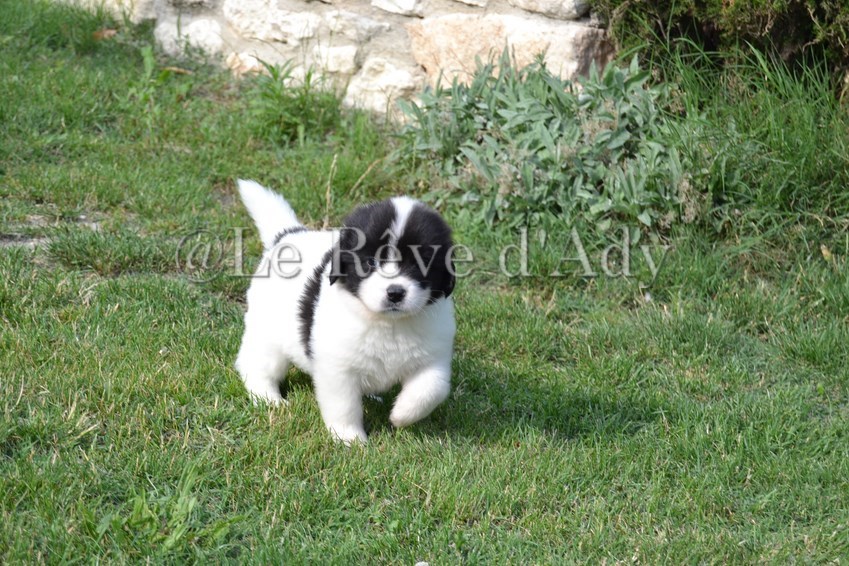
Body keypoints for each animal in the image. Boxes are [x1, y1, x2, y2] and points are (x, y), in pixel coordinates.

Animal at [234, 180, 456, 444]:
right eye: (370, 262)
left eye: (419, 263)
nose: (395, 292)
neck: (388, 323)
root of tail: (288, 234)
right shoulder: (337, 368)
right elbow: (344, 405)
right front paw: (349, 438)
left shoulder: (433, 356)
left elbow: (432, 389)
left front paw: (400, 415)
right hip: (268, 333)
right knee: (256, 365)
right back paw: (269, 398)